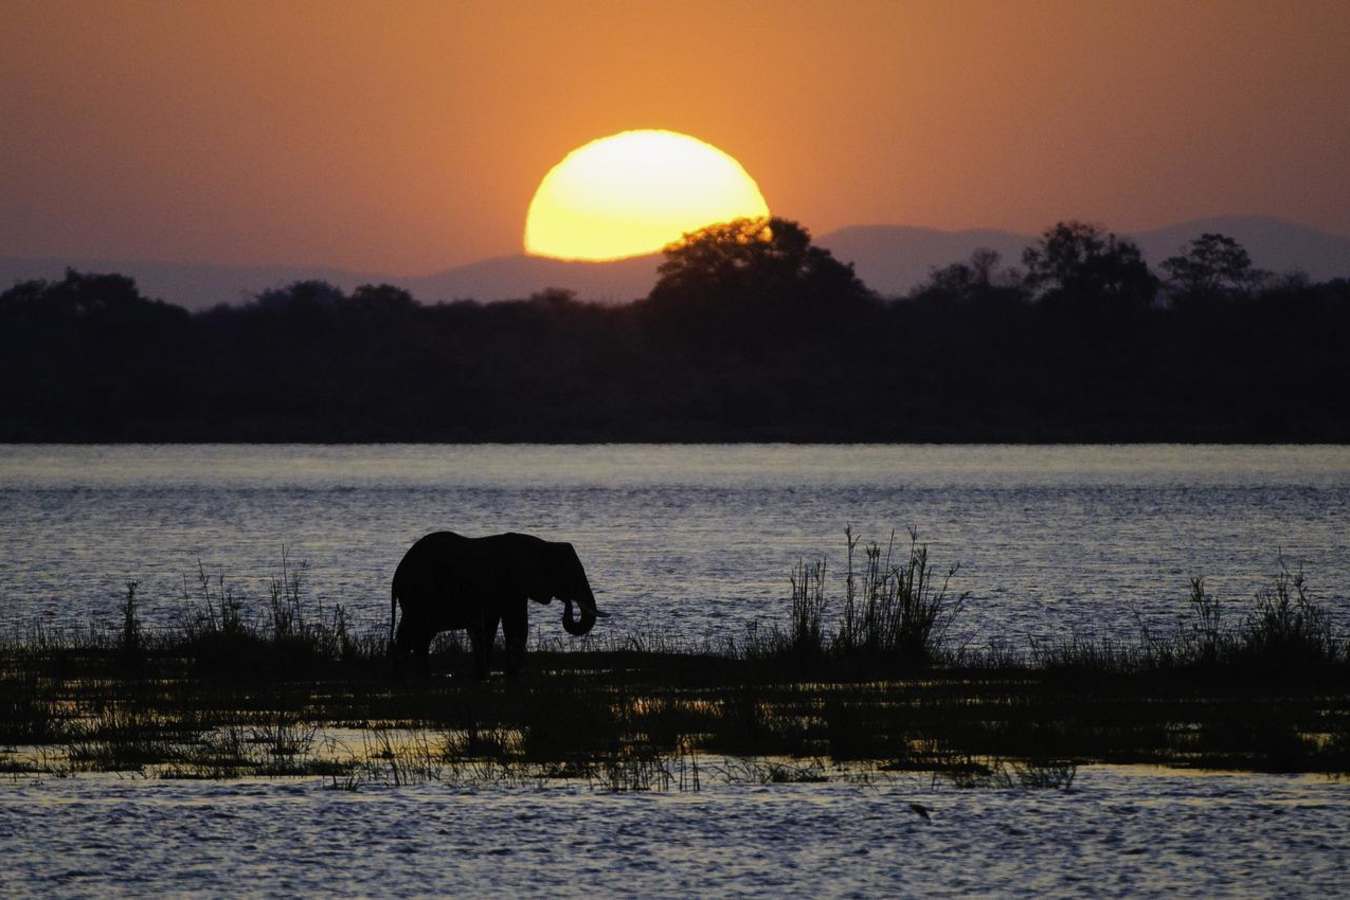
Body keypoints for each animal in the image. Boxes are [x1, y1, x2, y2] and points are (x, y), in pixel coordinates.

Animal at [389, 531, 607, 679]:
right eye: (569, 576)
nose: (568, 603)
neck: (543, 545)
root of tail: (397, 575)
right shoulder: (511, 587)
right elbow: (515, 626)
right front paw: (512, 675)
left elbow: (488, 629)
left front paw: (482, 676)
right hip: (419, 596)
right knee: (414, 634)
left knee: (416, 636)